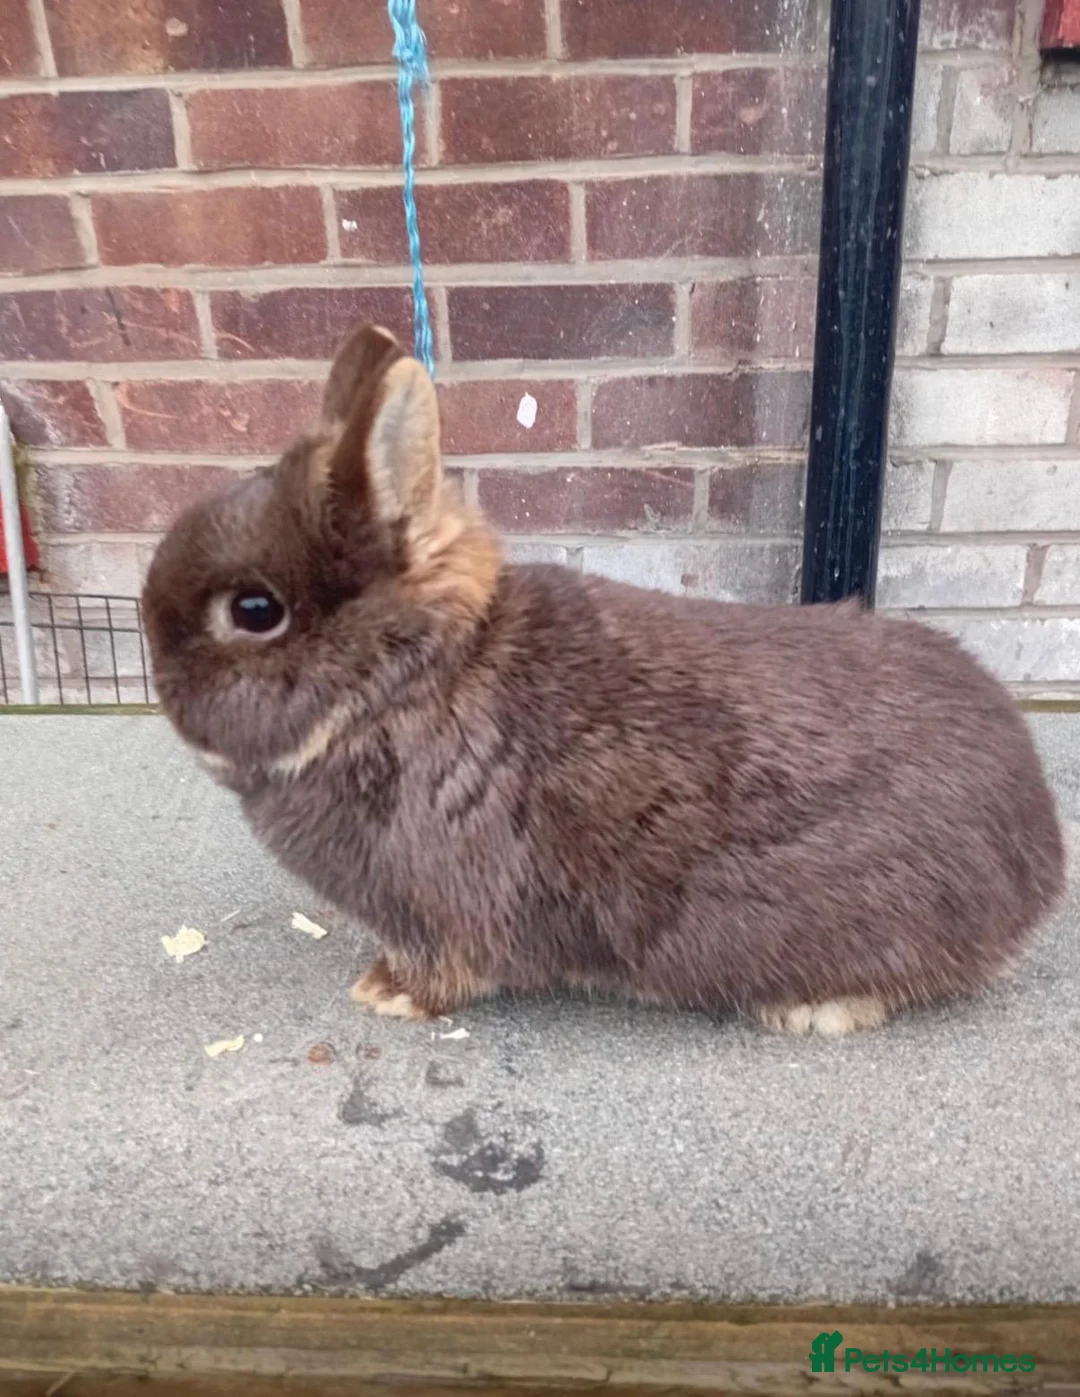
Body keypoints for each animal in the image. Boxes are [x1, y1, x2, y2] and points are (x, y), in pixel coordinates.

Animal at [142, 323, 1065, 1037]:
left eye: (254, 610)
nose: (165, 694)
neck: (404, 684)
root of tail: (1041, 860)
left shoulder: (444, 908)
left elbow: (448, 969)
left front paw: (385, 995)